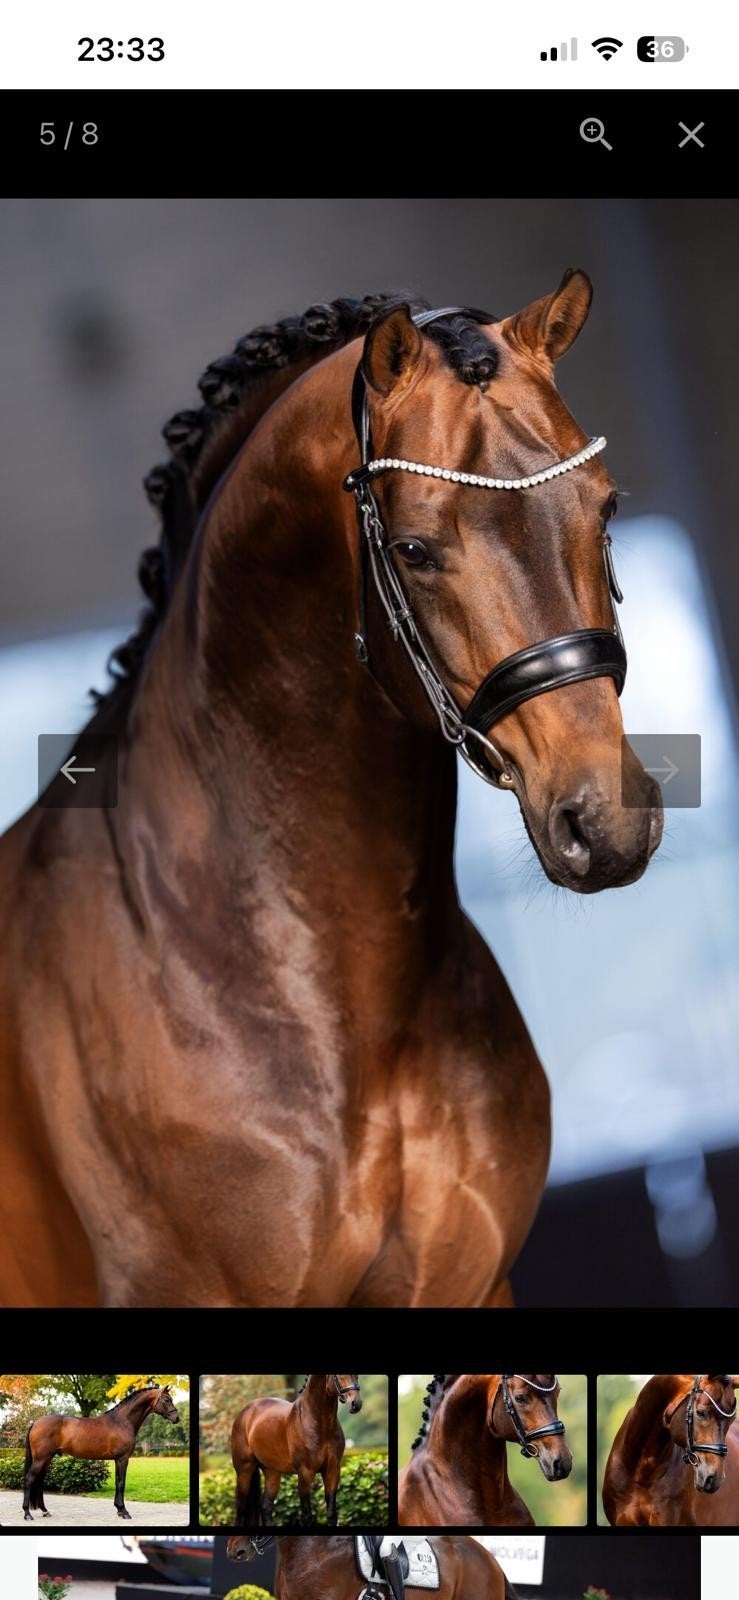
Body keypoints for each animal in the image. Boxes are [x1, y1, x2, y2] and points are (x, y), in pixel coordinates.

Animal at [22, 1384, 179, 1521]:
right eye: (167, 1399)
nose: (176, 1418)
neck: (122, 1421)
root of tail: (35, 1422)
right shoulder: (123, 1459)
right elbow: (121, 1483)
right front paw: (124, 1512)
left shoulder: (118, 1459)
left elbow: (117, 1482)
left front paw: (119, 1510)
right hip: (40, 1458)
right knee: (30, 1479)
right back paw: (27, 1514)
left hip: (47, 1458)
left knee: (39, 1481)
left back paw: (45, 1511)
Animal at [231, 1374, 362, 1526]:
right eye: (338, 1376)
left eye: (357, 1375)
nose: (356, 1403)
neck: (318, 1424)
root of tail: (245, 1412)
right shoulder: (305, 1473)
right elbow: (307, 1516)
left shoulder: (333, 1471)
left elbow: (331, 1514)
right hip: (244, 1470)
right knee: (241, 1509)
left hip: (272, 1472)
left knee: (266, 1506)